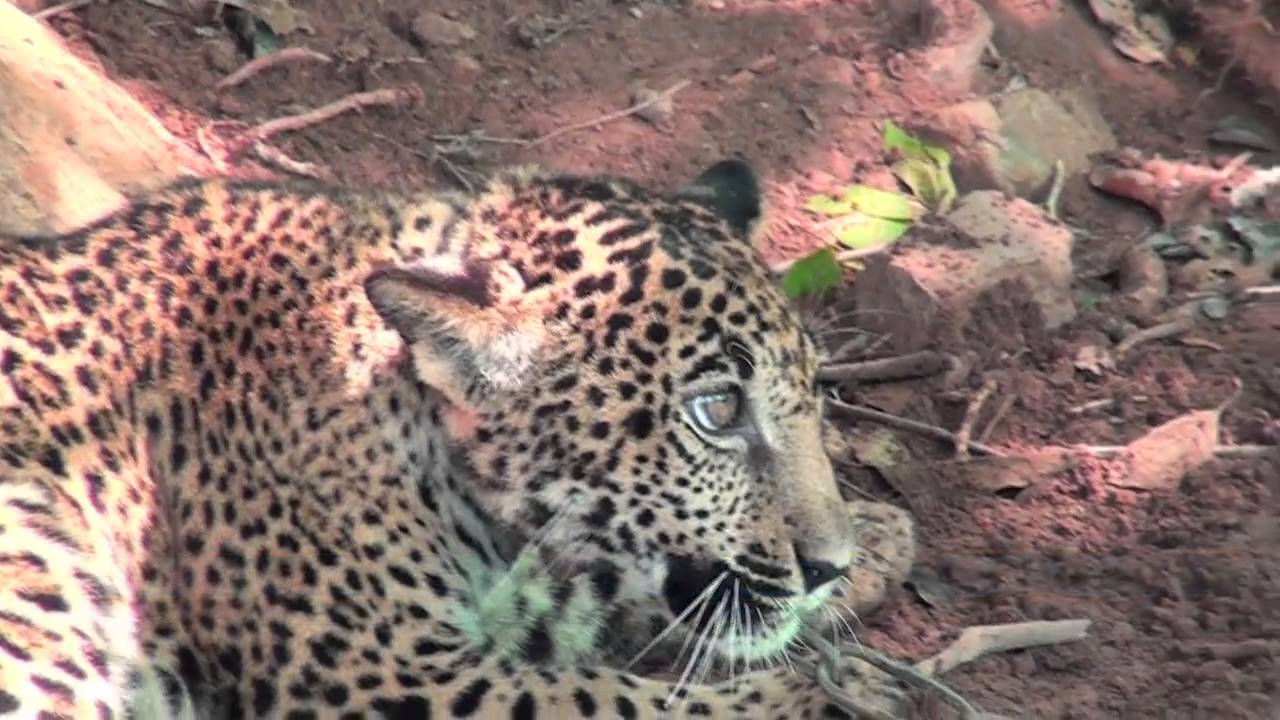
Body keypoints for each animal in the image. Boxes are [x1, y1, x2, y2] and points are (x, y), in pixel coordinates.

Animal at [0, 157, 916, 719]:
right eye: (718, 411)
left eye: (812, 393)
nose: (828, 565)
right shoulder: (385, 677)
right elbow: (611, 700)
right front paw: (834, 700)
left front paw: (879, 542)